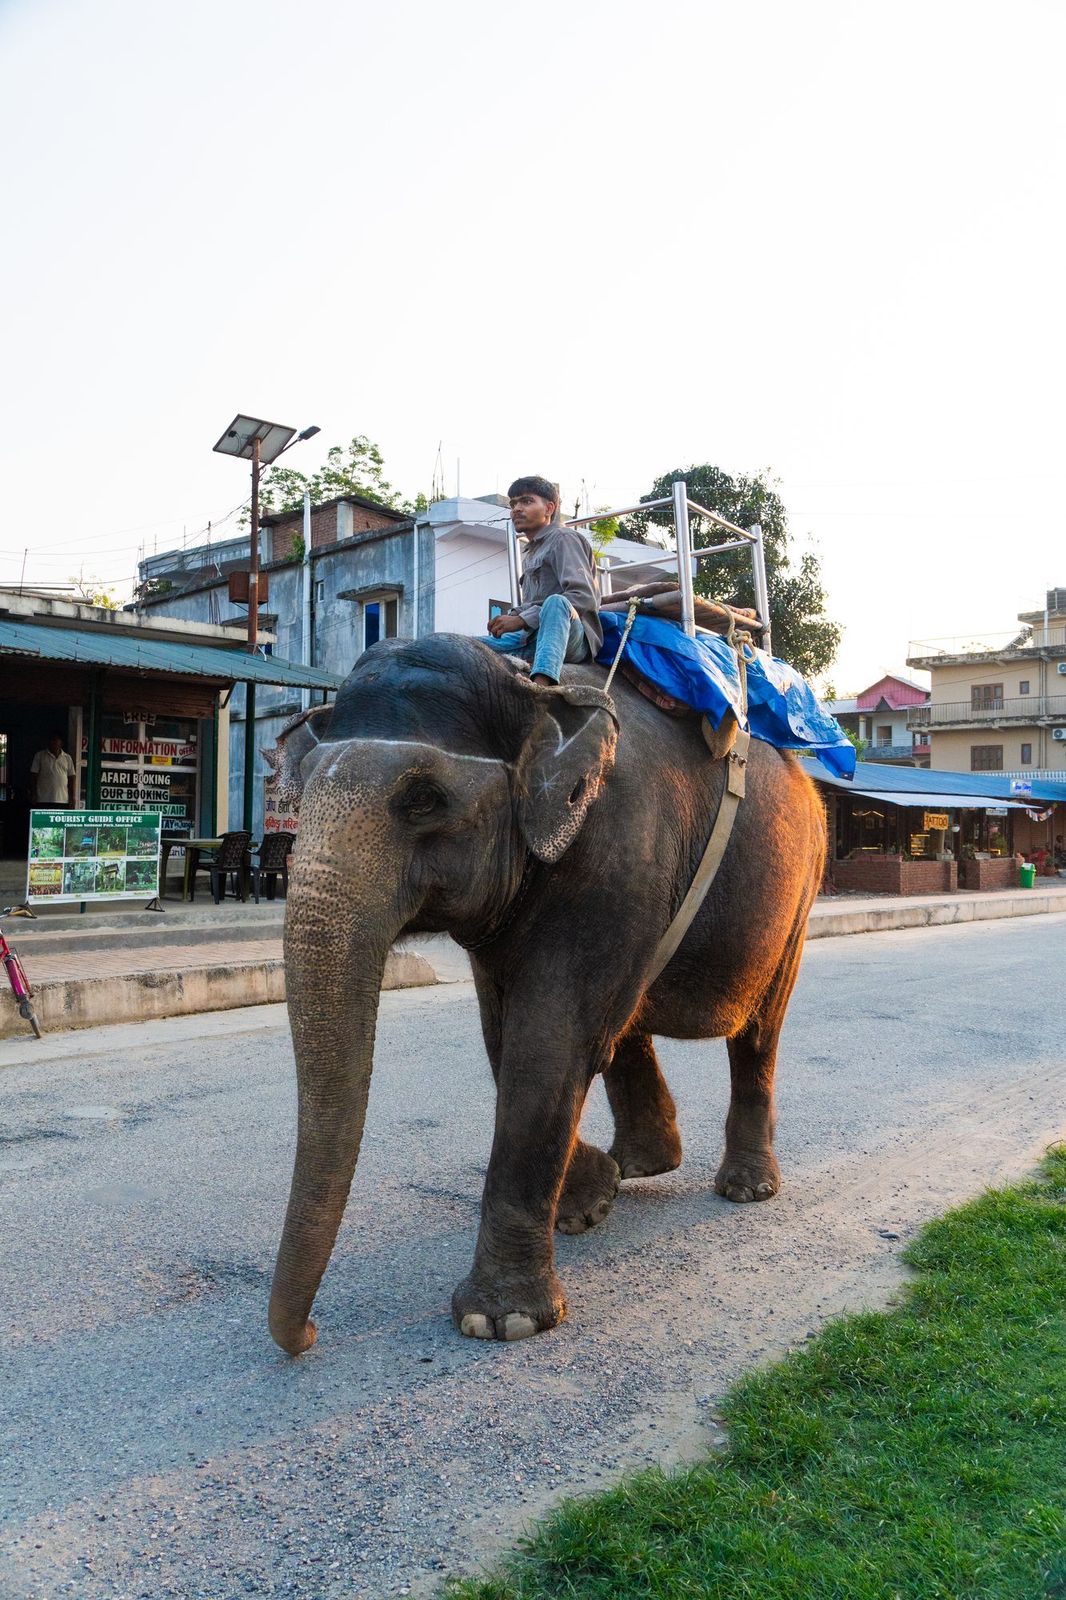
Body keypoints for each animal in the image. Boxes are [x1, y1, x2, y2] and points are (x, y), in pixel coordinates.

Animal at [268, 632, 826, 1354]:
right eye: (300, 793)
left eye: (423, 800)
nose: (309, 1334)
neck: (529, 689)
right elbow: (508, 1036)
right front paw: (589, 1203)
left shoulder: (621, 849)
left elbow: (548, 1042)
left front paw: (501, 1321)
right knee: (626, 1022)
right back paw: (642, 1164)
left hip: (801, 890)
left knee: (759, 1030)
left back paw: (746, 1189)